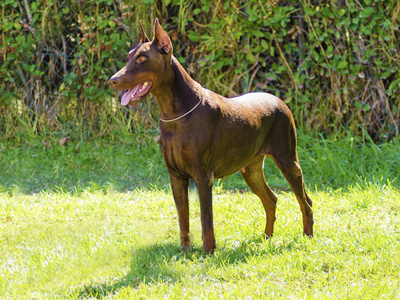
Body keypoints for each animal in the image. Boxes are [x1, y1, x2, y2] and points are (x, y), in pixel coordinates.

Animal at [108, 19, 312, 253]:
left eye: (142, 58)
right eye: (128, 56)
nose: (113, 80)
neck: (174, 114)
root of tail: (280, 101)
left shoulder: (203, 176)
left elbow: (206, 219)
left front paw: (208, 252)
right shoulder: (176, 176)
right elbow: (183, 218)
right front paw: (185, 252)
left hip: (288, 160)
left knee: (305, 202)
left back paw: (307, 238)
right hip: (250, 168)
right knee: (271, 199)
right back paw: (266, 238)